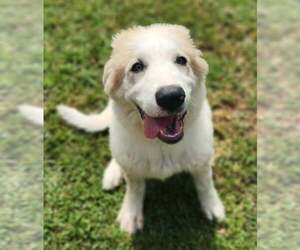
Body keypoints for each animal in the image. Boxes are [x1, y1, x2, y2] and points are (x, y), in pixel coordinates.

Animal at [57, 24, 224, 233]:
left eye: (181, 60)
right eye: (137, 67)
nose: (171, 97)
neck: (162, 146)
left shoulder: (200, 163)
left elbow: (204, 184)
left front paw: (212, 206)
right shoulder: (133, 171)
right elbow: (135, 189)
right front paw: (131, 214)